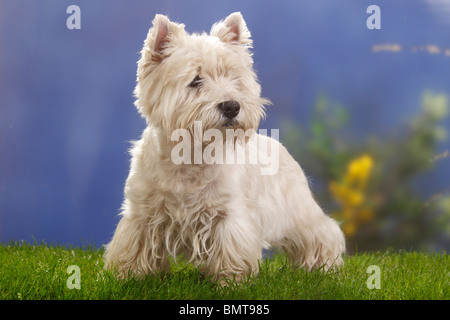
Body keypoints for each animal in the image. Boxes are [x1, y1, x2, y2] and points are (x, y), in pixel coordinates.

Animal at [104, 11, 344, 282]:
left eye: (234, 78)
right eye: (195, 80)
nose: (231, 106)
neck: (191, 155)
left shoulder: (229, 215)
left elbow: (231, 251)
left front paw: (230, 281)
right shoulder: (142, 212)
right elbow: (133, 246)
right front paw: (125, 277)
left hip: (298, 211)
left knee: (323, 232)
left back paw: (325, 267)